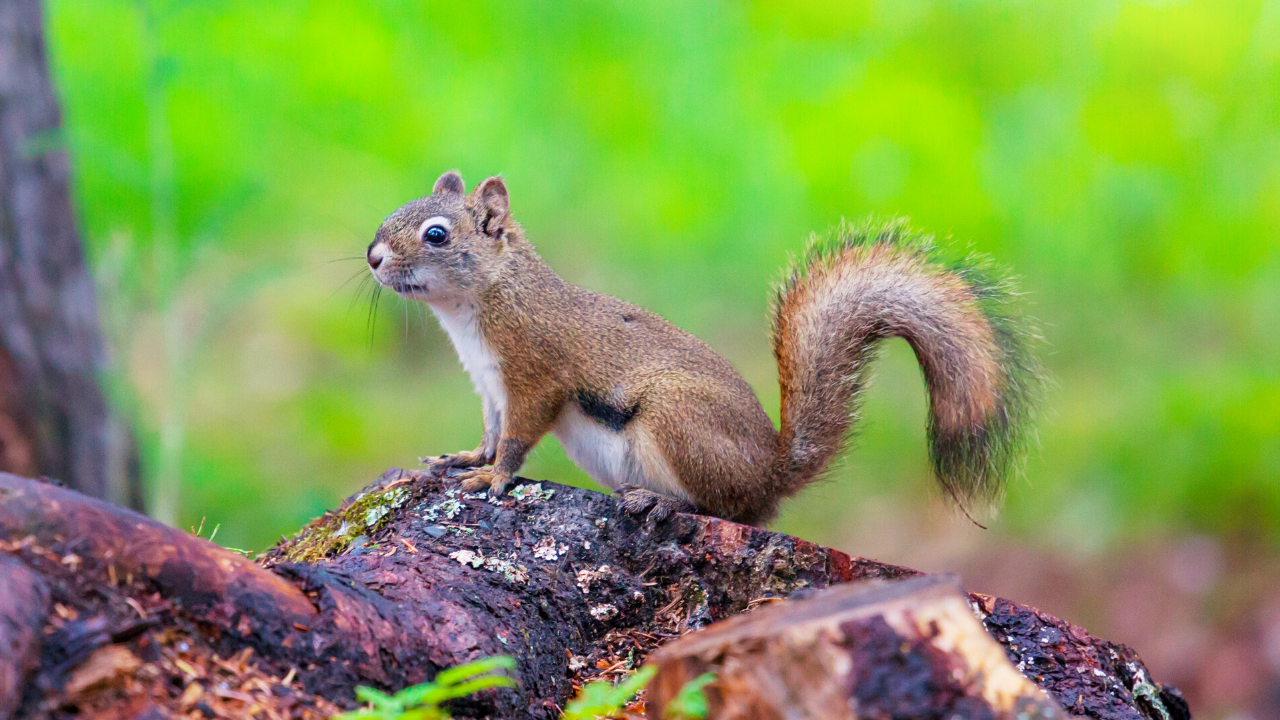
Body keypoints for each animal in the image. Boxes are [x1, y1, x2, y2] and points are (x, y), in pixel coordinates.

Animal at [366, 171, 1040, 527]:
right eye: (395, 211)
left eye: (436, 234)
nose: (372, 257)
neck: (479, 306)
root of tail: (770, 473)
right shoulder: (489, 386)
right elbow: (488, 430)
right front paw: (462, 459)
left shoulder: (535, 375)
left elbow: (516, 439)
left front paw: (494, 478)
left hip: (677, 420)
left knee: (722, 508)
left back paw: (656, 500)